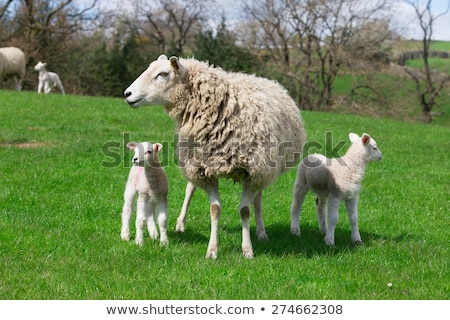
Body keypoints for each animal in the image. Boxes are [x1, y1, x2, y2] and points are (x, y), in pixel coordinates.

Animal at [123, 54, 306, 260]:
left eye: (163, 74)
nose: (127, 93)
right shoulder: (204, 171)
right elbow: (215, 209)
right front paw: (212, 250)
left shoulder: (251, 172)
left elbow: (245, 211)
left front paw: (247, 249)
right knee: (190, 188)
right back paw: (181, 223)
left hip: (263, 170)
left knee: (257, 198)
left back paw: (261, 232)